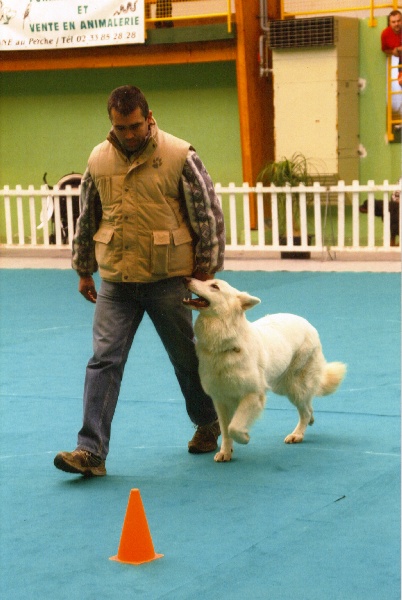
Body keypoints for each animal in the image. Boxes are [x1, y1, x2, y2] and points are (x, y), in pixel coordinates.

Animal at [184, 278, 348, 462]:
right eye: (206, 281)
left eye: (214, 286)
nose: (186, 279)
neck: (225, 343)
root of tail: (308, 324)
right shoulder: (221, 399)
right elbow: (225, 430)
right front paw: (226, 452)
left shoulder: (253, 395)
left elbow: (234, 427)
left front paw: (244, 437)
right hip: (281, 386)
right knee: (308, 407)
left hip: (294, 387)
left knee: (305, 411)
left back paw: (297, 434)